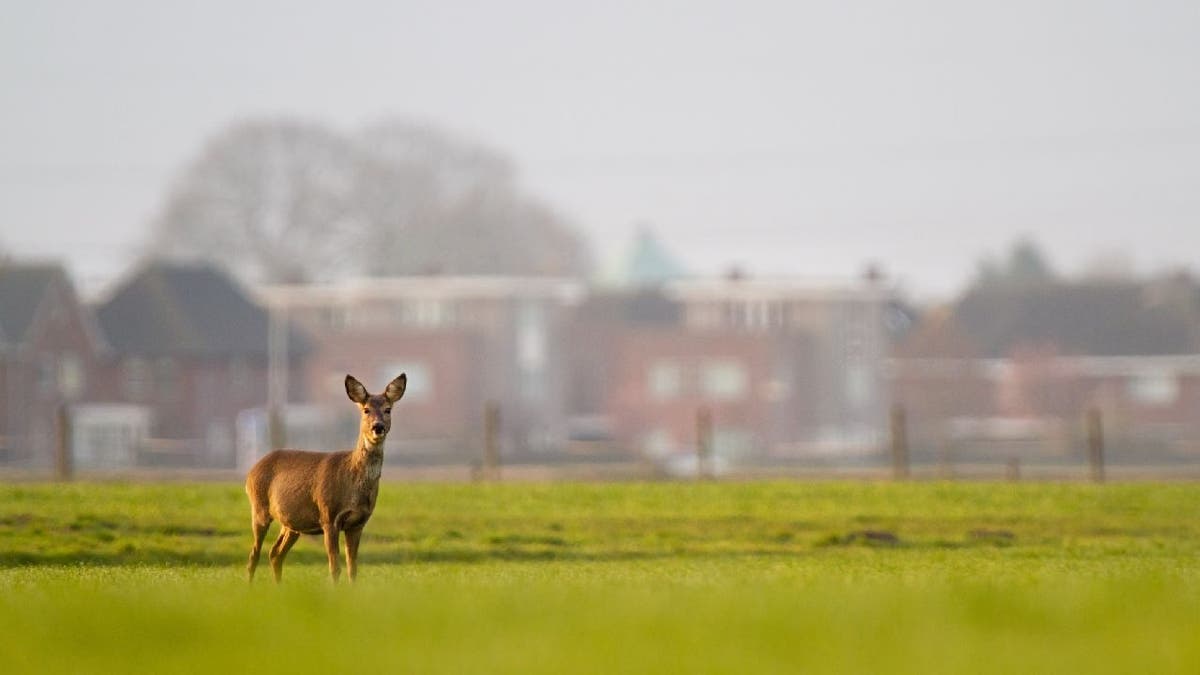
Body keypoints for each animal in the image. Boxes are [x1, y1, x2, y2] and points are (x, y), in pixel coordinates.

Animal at [246, 369, 405, 581]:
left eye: (388, 409)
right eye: (366, 410)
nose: (377, 427)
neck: (352, 480)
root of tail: (251, 471)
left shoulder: (358, 523)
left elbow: (353, 568)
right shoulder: (328, 516)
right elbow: (335, 567)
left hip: (292, 523)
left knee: (275, 553)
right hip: (259, 508)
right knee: (254, 555)